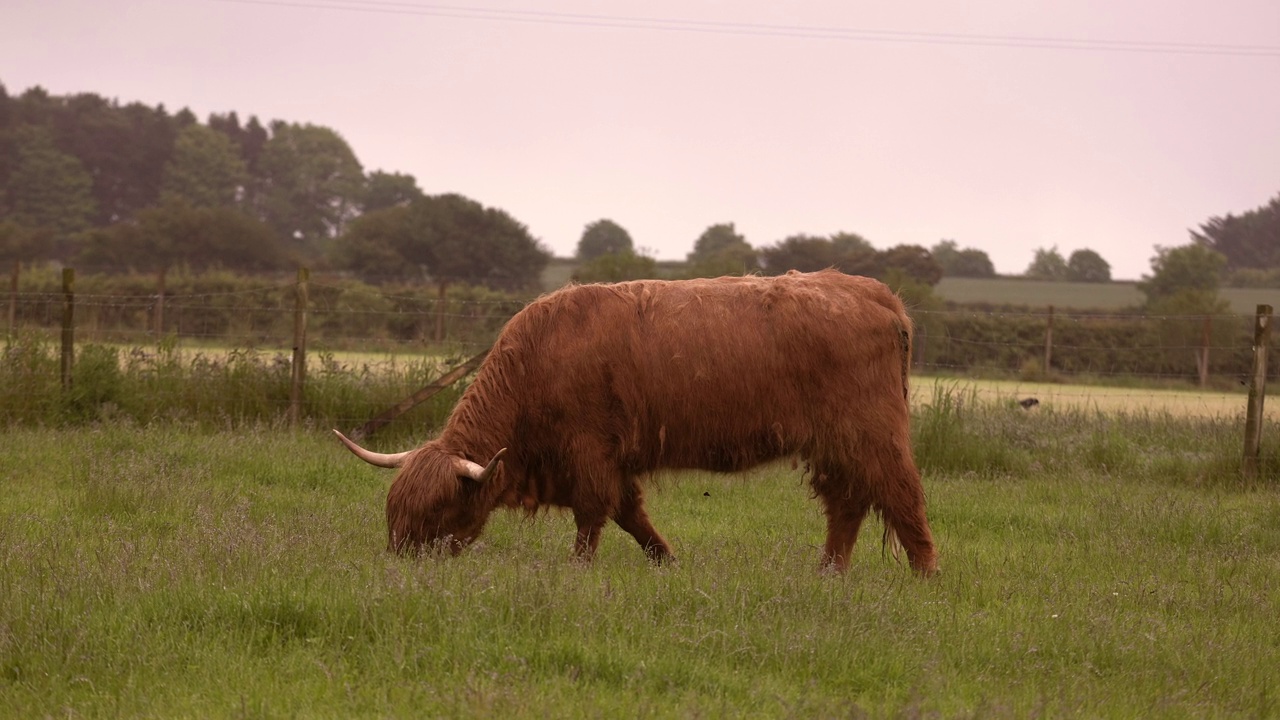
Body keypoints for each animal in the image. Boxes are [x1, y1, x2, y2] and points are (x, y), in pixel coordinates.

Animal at [337, 266, 942, 573]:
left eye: (437, 510)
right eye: (393, 510)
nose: (399, 566)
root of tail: (877, 294)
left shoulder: (588, 449)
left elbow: (593, 513)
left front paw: (579, 571)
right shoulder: (607, 459)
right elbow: (631, 514)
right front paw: (667, 562)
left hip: (871, 431)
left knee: (901, 494)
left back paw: (924, 576)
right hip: (834, 442)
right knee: (848, 502)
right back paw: (828, 573)